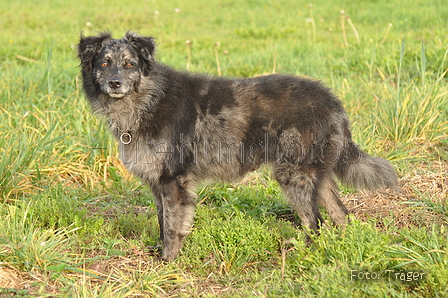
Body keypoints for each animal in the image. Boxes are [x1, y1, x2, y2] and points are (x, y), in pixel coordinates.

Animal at [78, 31, 400, 260]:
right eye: (104, 63)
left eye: (129, 64)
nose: (115, 83)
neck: (148, 99)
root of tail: (332, 100)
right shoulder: (159, 183)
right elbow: (161, 221)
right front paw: (159, 251)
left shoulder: (174, 181)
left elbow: (172, 226)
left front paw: (168, 261)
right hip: (316, 176)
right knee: (340, 215)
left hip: (293, 175)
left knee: (314, 223)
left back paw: (304, 254)